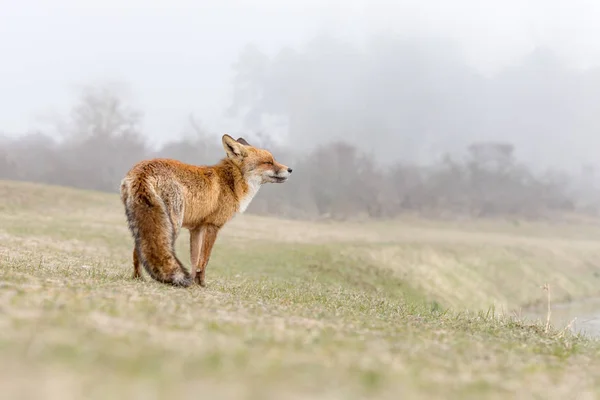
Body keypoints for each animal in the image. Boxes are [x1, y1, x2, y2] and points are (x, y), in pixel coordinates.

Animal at [120, 134, 292, 288]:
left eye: (274, 160)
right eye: (268, 162)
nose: (290, 169)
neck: (230, 183)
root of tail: (143, 168)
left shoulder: (196, 229)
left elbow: (195, 259)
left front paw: (193, 282)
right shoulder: (213, 226)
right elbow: (204, 260)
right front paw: (201, 283)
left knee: (138, 250)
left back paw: (138, 278)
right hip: (172, 226)